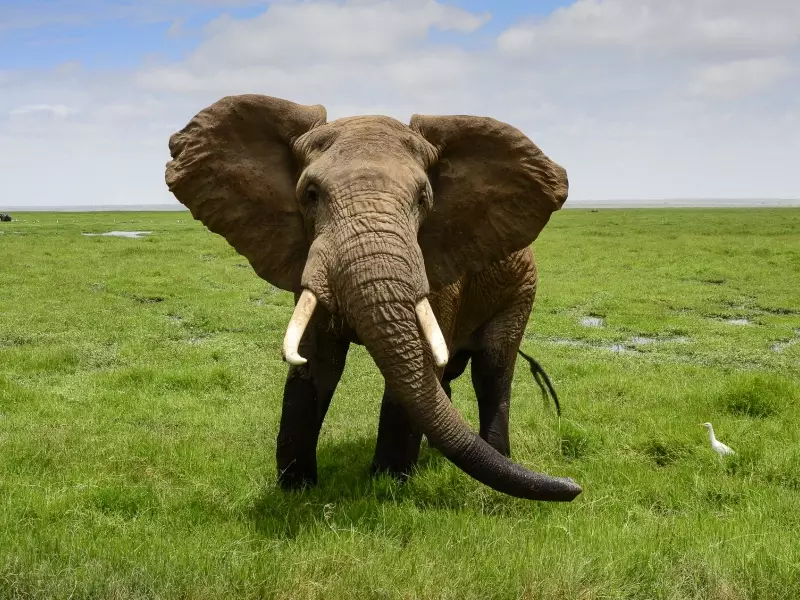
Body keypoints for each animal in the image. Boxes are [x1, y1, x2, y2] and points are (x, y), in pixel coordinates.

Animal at [166, 92, 580, 502]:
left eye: (423, 199)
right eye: (311, 195)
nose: (575, 487)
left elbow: (417, 370)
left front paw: (388, 486)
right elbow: (317, 364)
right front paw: (295, 490)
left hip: (520, 289)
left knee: (492, 370)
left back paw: (493, 455)